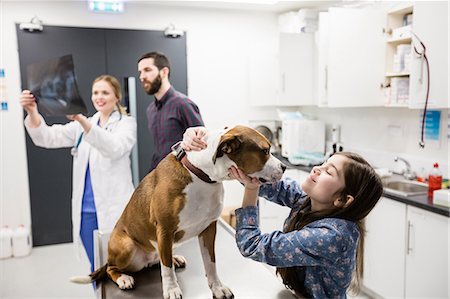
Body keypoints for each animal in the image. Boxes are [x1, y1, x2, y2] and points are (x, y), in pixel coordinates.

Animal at [72, 125, 286, 298]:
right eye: (265, 150)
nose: (284, 166)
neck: (201, 174)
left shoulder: (209, 229)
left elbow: (211, 263)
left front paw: (217, 288)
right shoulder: (165, 230)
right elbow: (166, 270)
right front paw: (171, 289)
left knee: (160, 258)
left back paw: (173, 258)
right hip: (126, 246)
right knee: (112, 268)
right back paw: (123, 278)